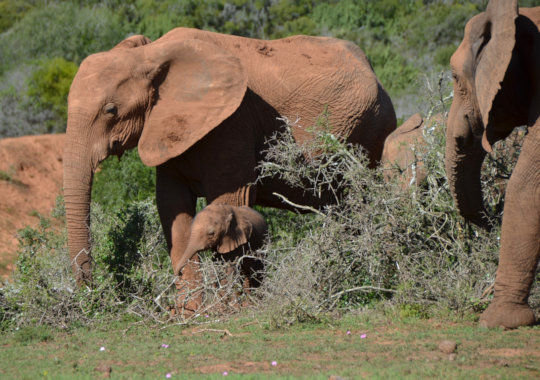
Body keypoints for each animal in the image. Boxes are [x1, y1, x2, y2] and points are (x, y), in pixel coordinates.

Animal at [63, 26, 396, 312]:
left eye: (111, 110)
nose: (92, 296)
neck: (153, 54)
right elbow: (172, 209)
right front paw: (190, 314)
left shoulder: (233, 122)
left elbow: (229, 203)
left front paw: (229, 311)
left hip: (370, 134)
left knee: (355, 208)